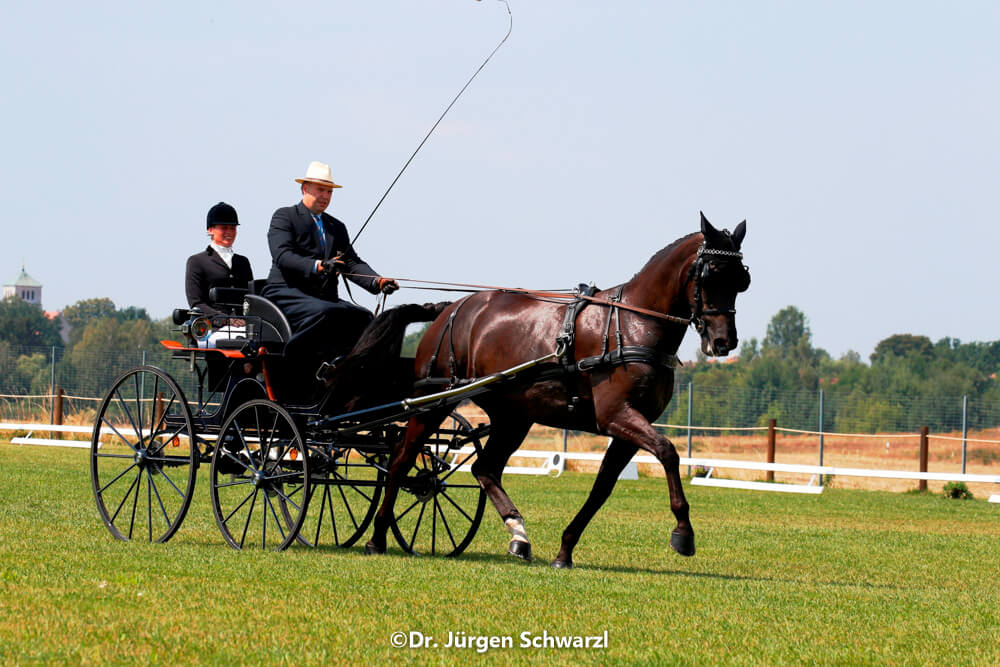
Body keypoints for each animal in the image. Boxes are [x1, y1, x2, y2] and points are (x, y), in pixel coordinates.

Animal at [364, 214, 748, 568]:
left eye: (742, 279)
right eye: (712, 273)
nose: (723, 342)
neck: (632, 325)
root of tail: (450, 309)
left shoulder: (626, 428)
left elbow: (602, 488)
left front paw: (565, 550)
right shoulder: (617, 416)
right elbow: (668, 453)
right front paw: (683, 533)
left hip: (513, 416)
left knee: (485, 469)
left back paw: (519, 536)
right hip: (435, 403)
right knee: (402, 460)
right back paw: (377, 537)